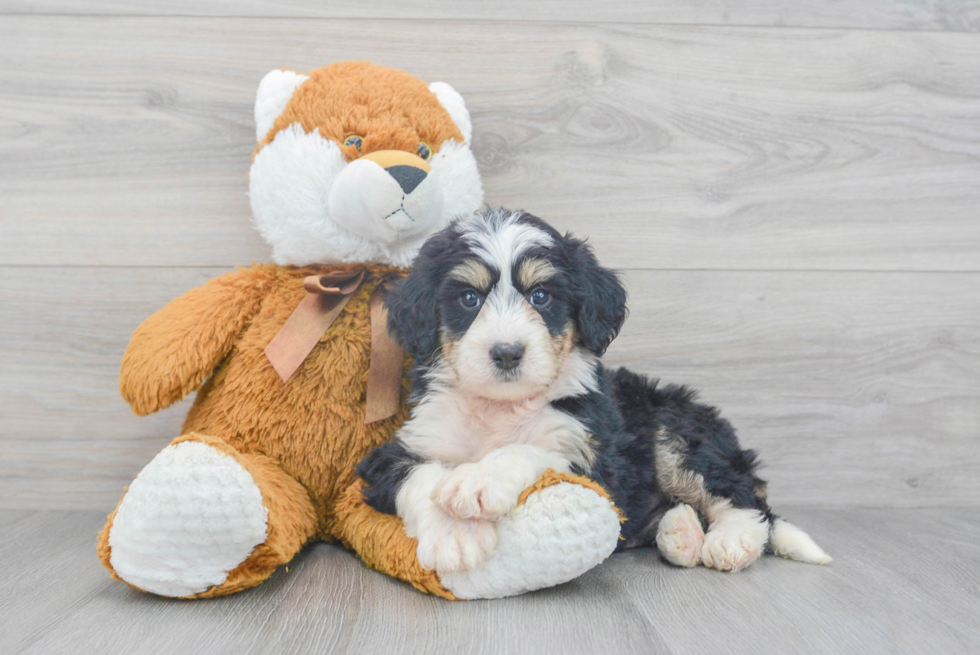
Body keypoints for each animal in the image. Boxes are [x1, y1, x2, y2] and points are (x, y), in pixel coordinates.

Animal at [356, 209, 832, 576]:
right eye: (469, 299)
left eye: (541, 296)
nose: (507, 352)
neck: (501, 408)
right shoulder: (394, 452)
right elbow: (421, 476)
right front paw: (455, 534)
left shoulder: (590, 455)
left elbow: (527, 450)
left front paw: (477, 482)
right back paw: (680, 533)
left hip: (678, 433)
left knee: (743, 496)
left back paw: (731, 541)